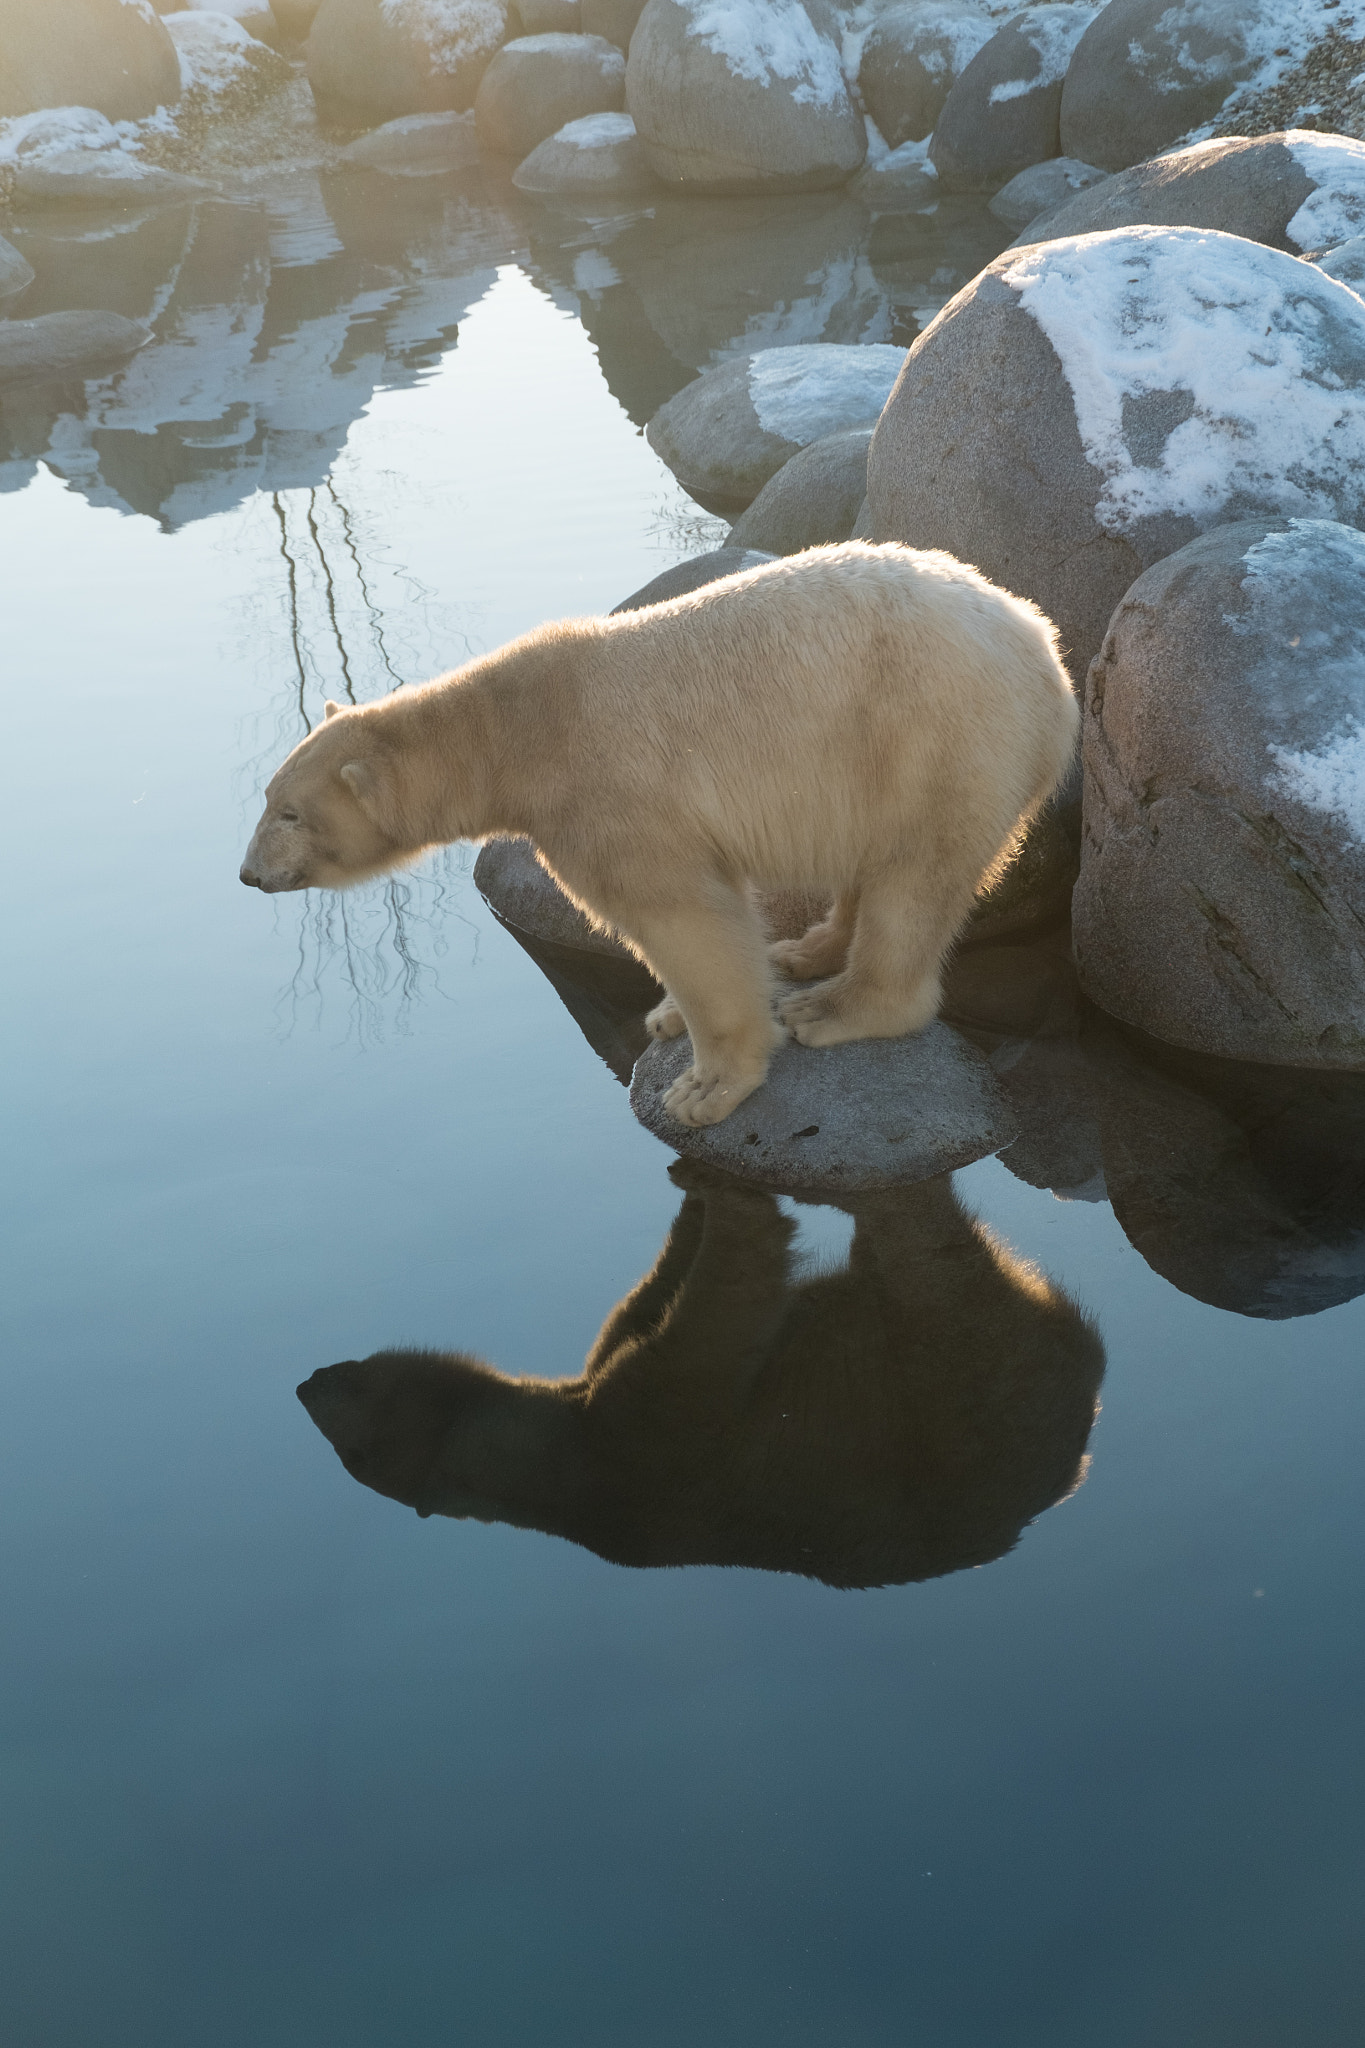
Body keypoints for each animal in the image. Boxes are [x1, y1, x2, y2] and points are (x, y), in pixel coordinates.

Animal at [242, 540, 1080, 1122]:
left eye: (289, 813)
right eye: (266, 796)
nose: (248, 874)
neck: (510, 731)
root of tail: (1047, 652)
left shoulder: (606, 797)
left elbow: (682, 918)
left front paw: (703, 1087)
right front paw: (669, 1016)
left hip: (936, 737)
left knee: (913, 879)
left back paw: (833, 1006)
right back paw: (804, 951)